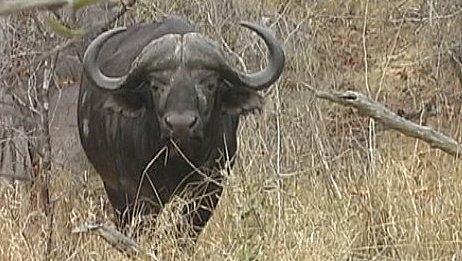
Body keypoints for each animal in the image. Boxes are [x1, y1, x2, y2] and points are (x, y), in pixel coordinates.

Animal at [77, 15, 284, 240]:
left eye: (210, 84)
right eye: (155, 85)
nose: (180, 125)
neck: (175, 161)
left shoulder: (209, 187)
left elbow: (186, 230)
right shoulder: (134, 191)